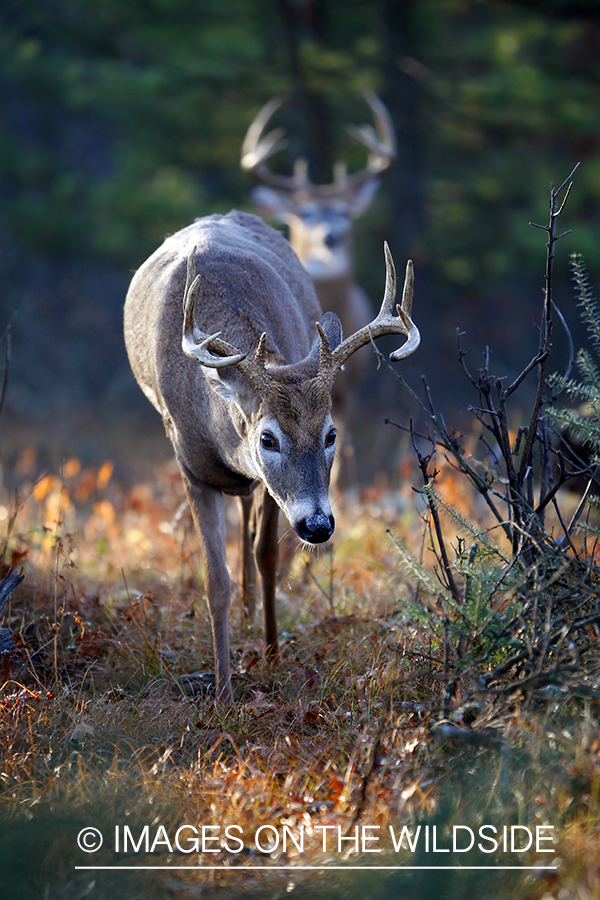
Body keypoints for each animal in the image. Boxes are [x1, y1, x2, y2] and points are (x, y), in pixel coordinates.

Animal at [124, 211, 420, 704]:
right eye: (268, 438)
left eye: (330, 433)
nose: (317, 526)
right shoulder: (190, 468)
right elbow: (214, 582)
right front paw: (224, 693)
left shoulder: (268, 486)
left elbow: (267, 555)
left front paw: (273, 653)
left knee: (247, 518)